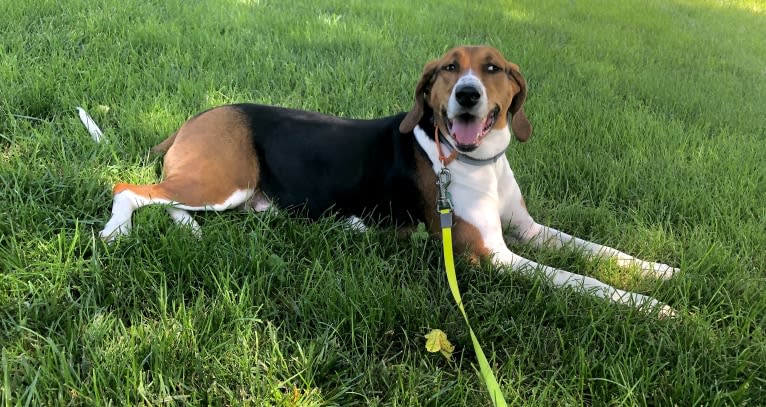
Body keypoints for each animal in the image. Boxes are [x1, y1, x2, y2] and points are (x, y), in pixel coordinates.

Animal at [100, 46, 680, 318]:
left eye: (493, 68)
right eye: (449, 68)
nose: (467, 94)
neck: (473, 161)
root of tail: (197, 116)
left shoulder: (528, 231)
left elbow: (595, 251)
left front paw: (660, 271)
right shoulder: (487, 254)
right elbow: (578, 279)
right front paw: (653, 307)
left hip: (229, 193)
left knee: (172, 203)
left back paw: (189, 231)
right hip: (226, 181)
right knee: (127, 189)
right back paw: (116, 233)